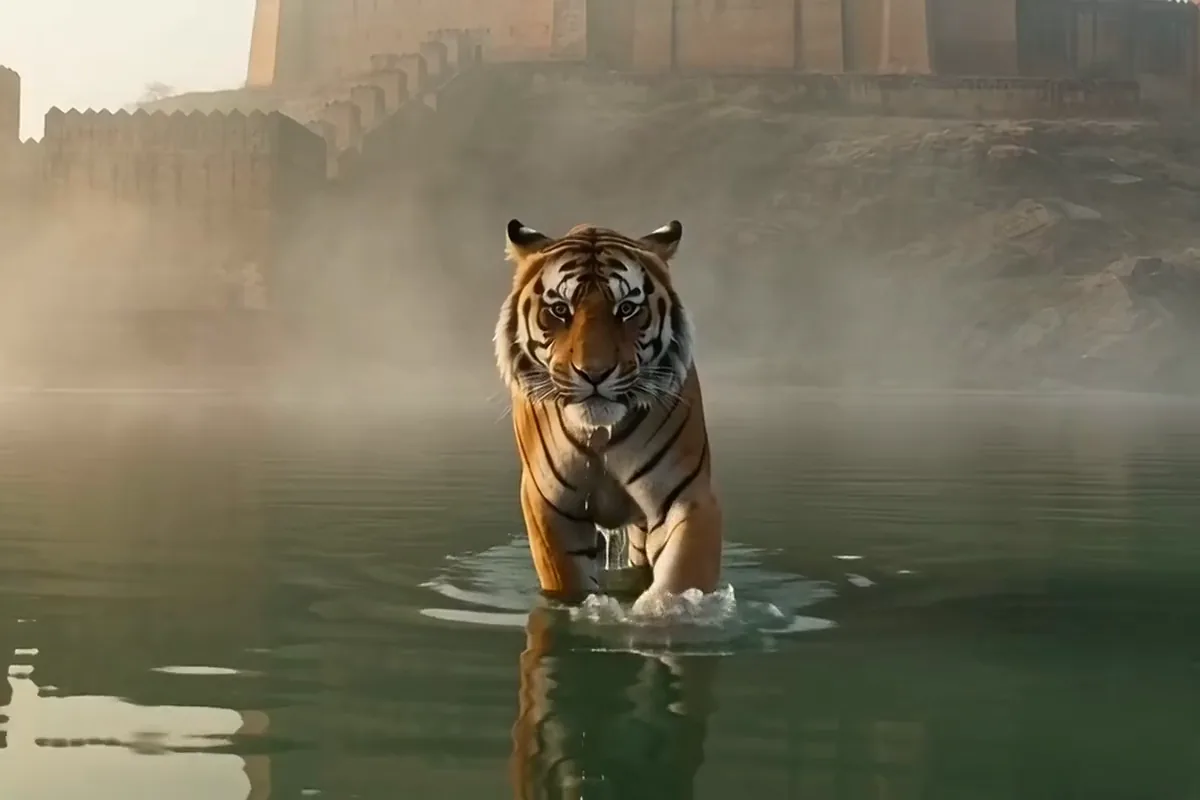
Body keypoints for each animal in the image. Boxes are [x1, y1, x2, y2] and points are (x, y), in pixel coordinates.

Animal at [493, 218, 723, 609]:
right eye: (560, 310)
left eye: (627, 309)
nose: (595, 373)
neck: (600, 432)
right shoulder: (548, 505)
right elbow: (568, 581)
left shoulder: (685, 496)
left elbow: (680, 580)